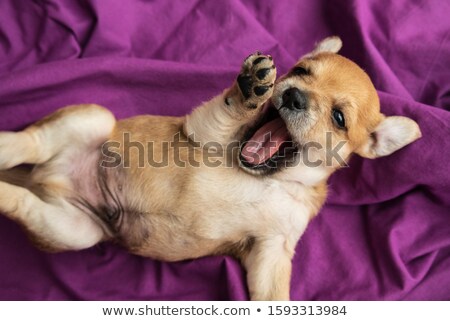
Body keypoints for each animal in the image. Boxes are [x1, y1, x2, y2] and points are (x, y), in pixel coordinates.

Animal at [0, 37, 420, 300]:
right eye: (301, 71)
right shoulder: (204, 129)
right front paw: (251, 87)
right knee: (31, 141)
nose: (294, 95)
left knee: (20, 202)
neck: (274, 179)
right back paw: (6, 146)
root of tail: (46, 178)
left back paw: (6, 189)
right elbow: (234, 108)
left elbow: (273, 296)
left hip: (73, 229)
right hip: (93, 118)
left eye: (339, 118)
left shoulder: (271, 252)